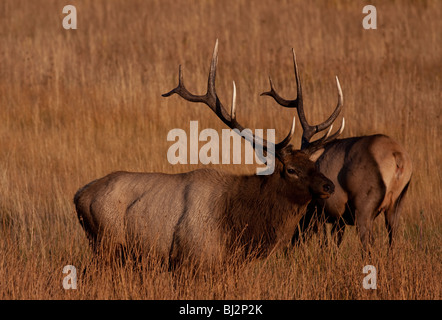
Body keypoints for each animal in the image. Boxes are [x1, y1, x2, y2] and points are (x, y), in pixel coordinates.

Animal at [72, 41, 344, 268]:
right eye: (291, 169)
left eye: (313, 164)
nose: (329, 185)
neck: (238, 227)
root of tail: (79, 195)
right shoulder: (191, 258)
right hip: (105, 243)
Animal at [260, 50, 412, 250]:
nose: (287, 247)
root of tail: (398, 158)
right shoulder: (337, 218)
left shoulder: (320, 210)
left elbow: (325, 244)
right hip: (398, 203)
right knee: (393, 241)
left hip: (365, 205)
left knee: (368, 243)